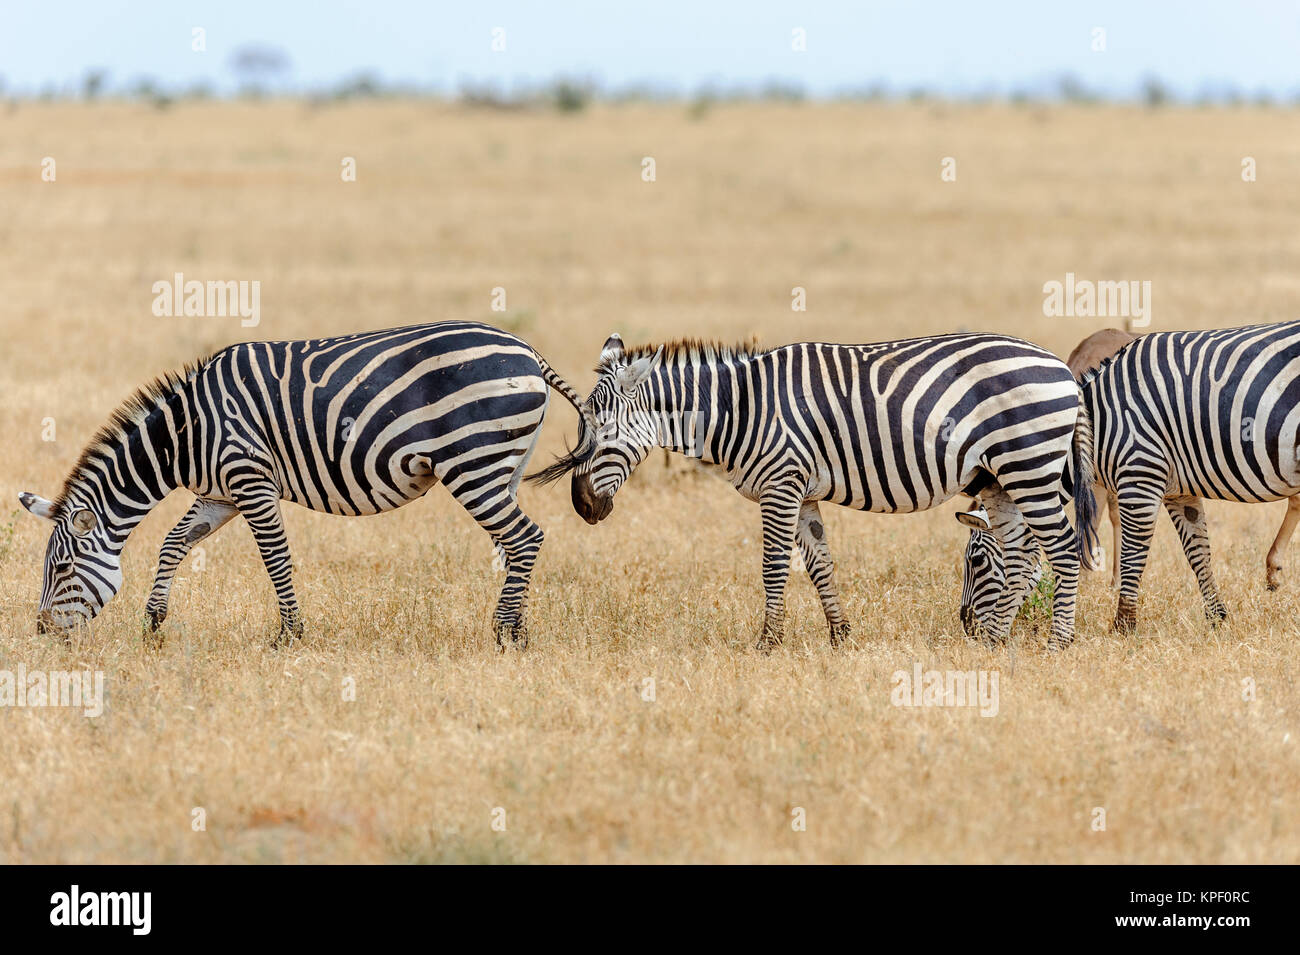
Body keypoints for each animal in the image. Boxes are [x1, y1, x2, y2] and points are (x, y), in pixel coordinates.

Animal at [19, 321, 588, 648]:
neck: (188, 435)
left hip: (472, 462)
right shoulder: (219, 494)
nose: (43, 635)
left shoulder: (250, 479)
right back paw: (519, 627)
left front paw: (288, 636)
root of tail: (527, 349)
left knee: (526, 538)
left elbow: (275, 557)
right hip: (501, 466)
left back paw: (505, 635)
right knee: (513, 545)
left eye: (61, 569)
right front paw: (155, 622)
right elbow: (173, 543)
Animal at [531, 332, 1097, 649]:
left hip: (1028, 464)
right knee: (1020, 553)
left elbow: (774, 566)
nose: (582, 507)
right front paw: (840, 637)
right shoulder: (802, 492)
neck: (740, 408)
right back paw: (998, 641)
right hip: (1002, 477)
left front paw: (767, 643)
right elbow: (821, 563)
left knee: (1062, 549)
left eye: (602, 433)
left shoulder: (781, 484)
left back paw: (1058, 644)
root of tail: (1063, 368)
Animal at [959, 320, 1300, 634]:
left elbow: (1130, 551)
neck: (1098, 422)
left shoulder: (1139, 474)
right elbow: (1198, 551)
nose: (966, 624)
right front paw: (1217, 616)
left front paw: (1122, 624)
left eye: (976, 560)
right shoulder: (1177, 490)